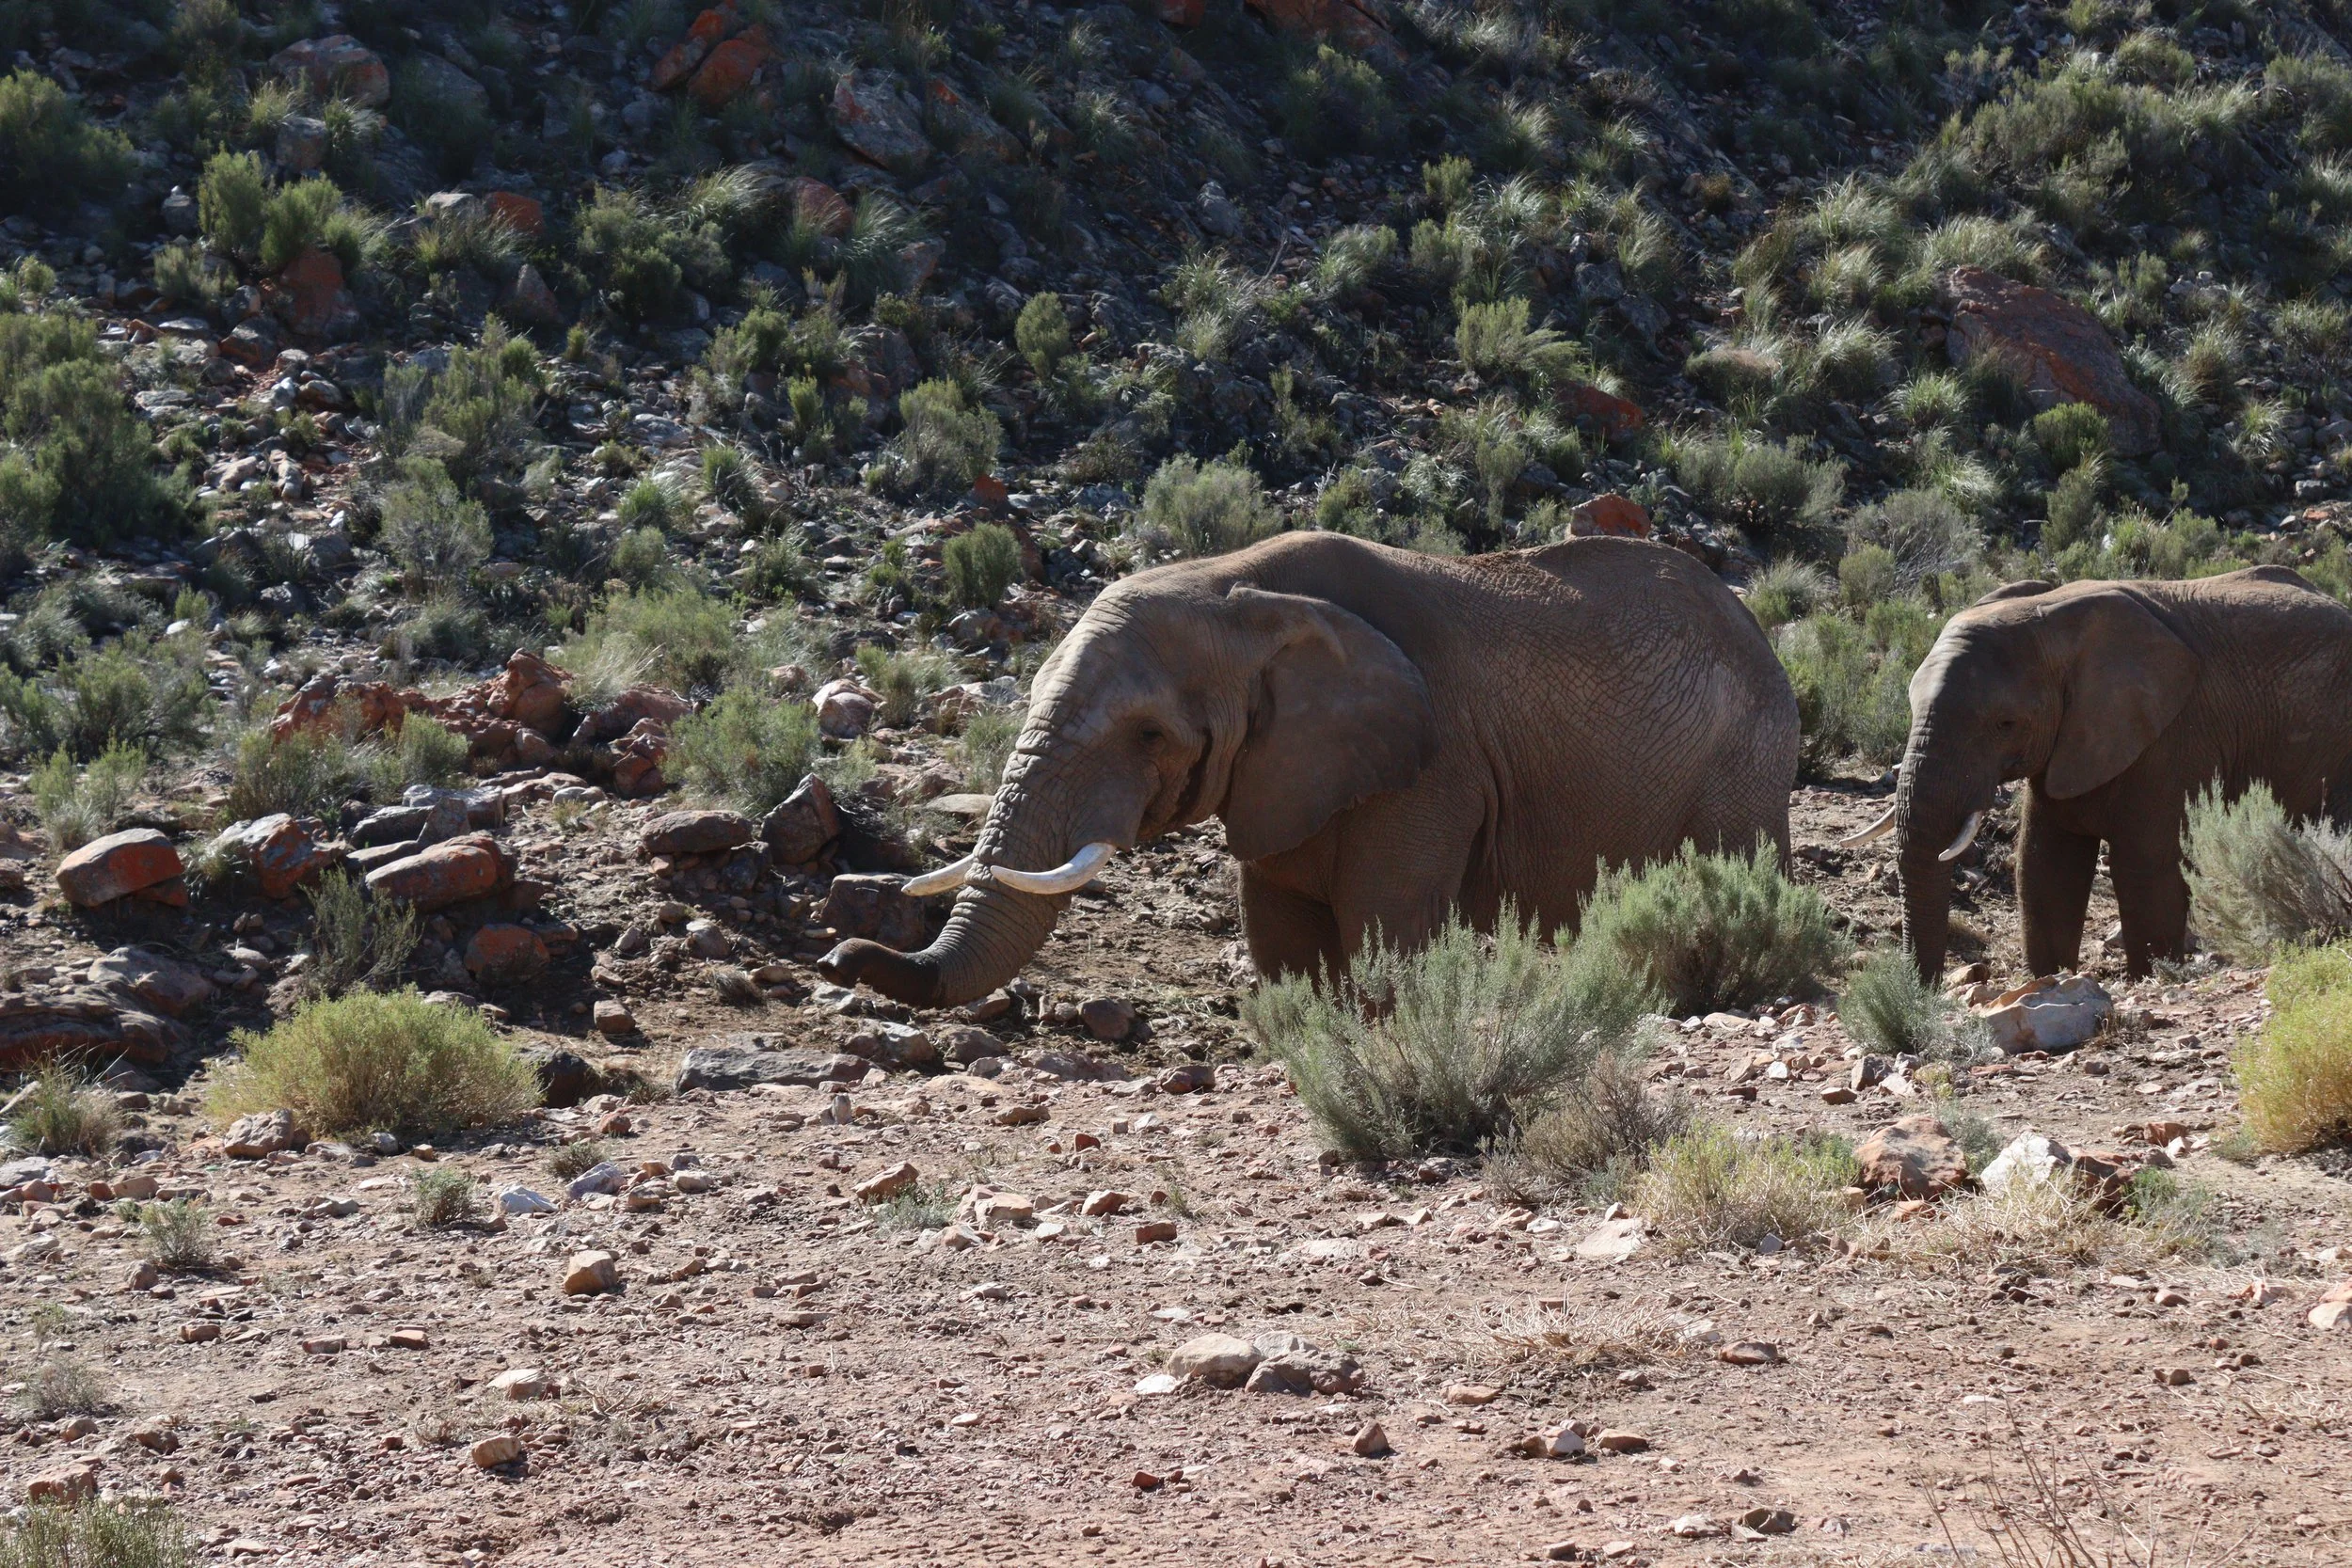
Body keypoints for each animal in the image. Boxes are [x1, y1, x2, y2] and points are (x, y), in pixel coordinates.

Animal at [818, 530, 1799, 1008]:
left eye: (1148, 734)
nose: (837, 955)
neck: (1238, 589)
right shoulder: (1283, 770)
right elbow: (1280, 928)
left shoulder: (1432, 765)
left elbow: (1384, 921)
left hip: (1741, 764)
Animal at [1845, 567, 2352, 980]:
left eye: (2005, 724)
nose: (1923, 994)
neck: (2053, 617)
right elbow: (2045, 864)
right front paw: (2049, 981)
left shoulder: (2176, 736)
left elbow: (2145, 866)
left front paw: (2150, 977)